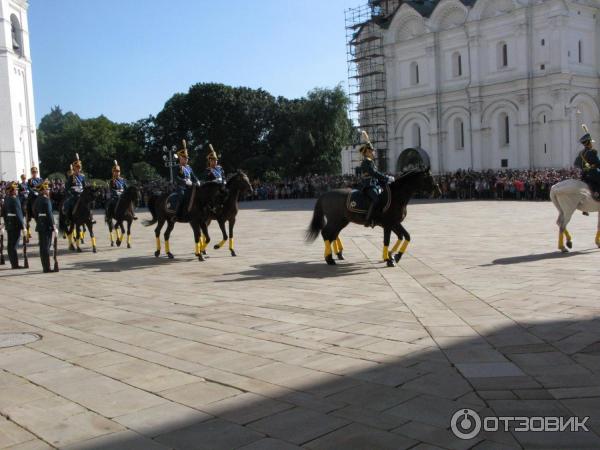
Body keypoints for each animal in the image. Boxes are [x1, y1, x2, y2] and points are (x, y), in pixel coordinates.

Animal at [308, 148, 438, 268]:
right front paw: (389, 259)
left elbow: (405, 236)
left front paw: (395, 255)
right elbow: (387, 240)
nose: (437, 189)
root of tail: (325, 194)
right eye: (429, 177)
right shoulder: (388, 224)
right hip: (335, 220)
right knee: (326, 233)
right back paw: (330, 258)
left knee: (332, 235)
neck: (396, 196)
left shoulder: (395, 223)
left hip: (342, 221)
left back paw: (334, 255)